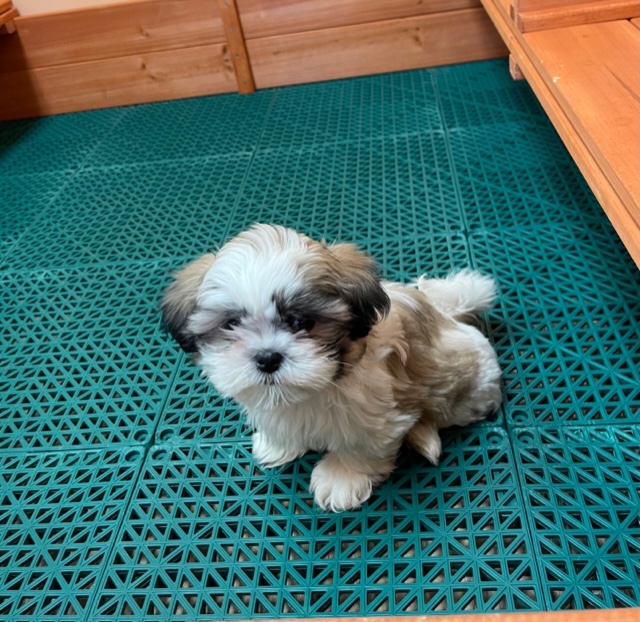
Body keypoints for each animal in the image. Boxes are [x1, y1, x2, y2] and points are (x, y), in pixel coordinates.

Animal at [160, 224, 500, 512]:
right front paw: (278, 446)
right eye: (231, 324)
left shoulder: (377, 415)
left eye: (302, 322)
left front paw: (341, 479)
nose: (268, 358)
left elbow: (359, 447)